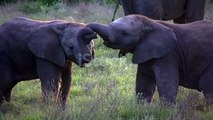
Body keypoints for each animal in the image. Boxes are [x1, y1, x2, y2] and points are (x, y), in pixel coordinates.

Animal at [85, 14, 213, 105]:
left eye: (124, 33)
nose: (92, 35)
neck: (149, 22)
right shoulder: (146, 51)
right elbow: (144, 81)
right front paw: (141, 108)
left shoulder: (168, 54)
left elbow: (166, 82)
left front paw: (166, 112)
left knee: (207, 87)